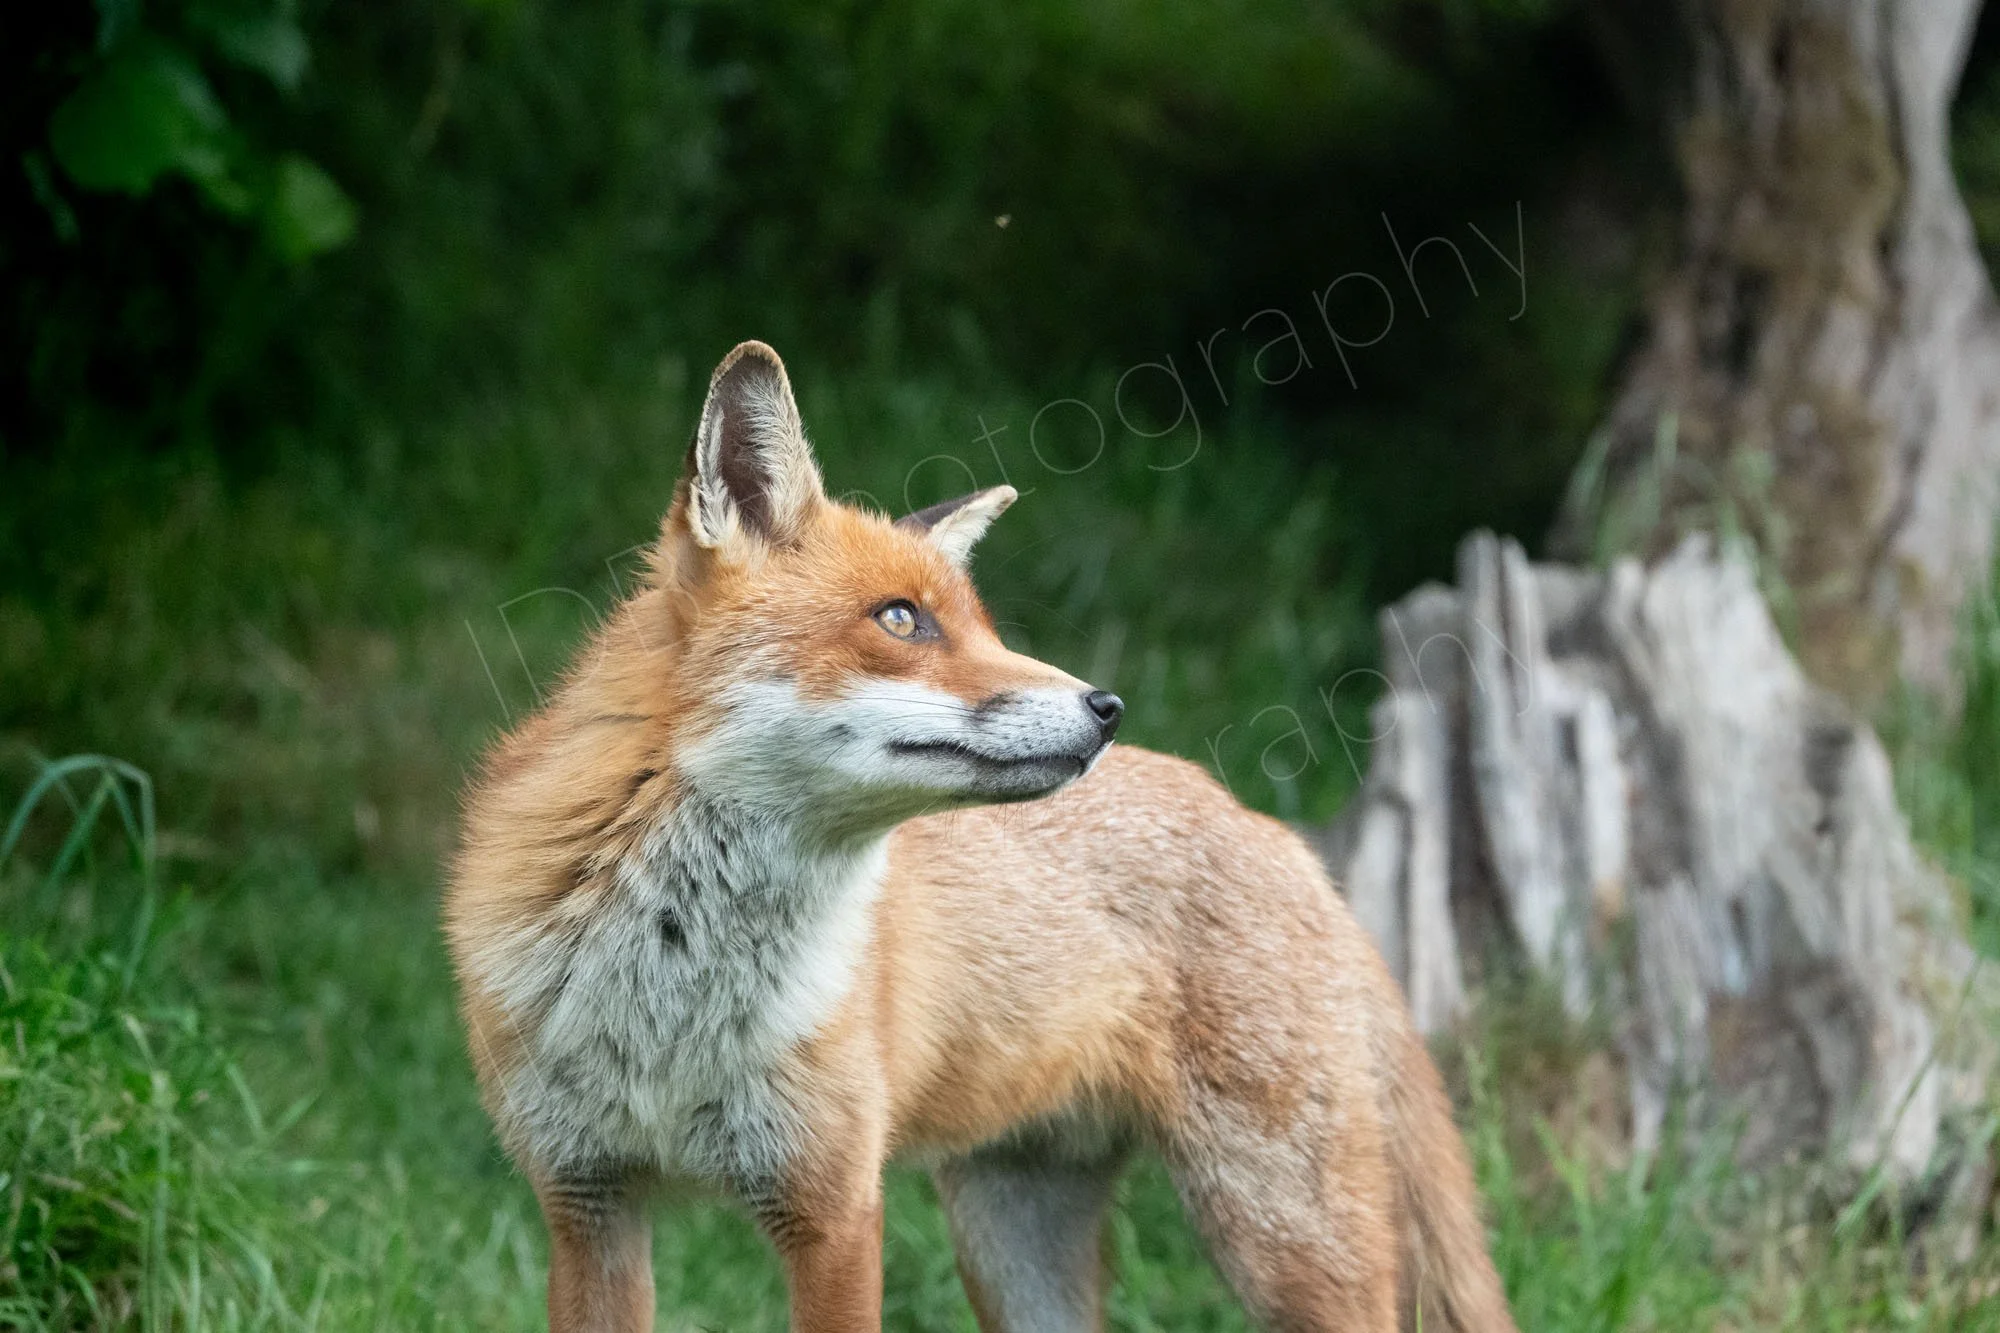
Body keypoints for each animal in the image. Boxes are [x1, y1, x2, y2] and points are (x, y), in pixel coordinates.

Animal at [444, 340, 1517, 1333]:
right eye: (901, 619)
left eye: (985, 628)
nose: (1106, 707)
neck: (670, 992)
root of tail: (1270, 828)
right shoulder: (588, 1203)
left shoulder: (833, 1205)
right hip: (1016, 1247)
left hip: (1281, 1233)